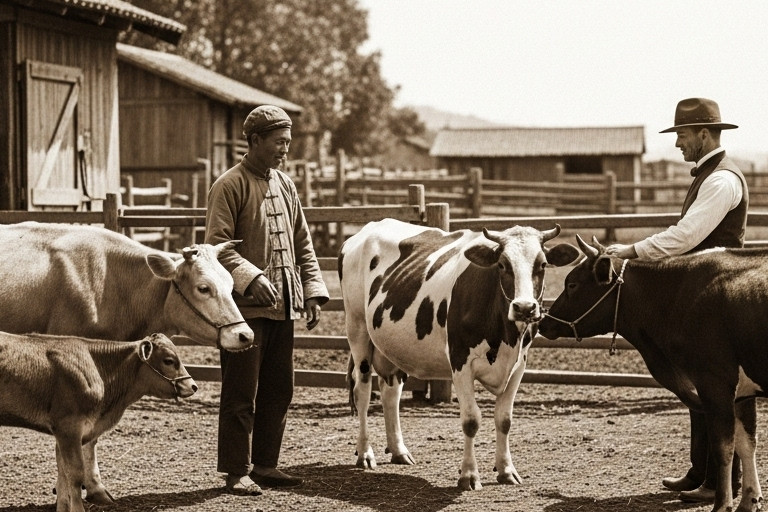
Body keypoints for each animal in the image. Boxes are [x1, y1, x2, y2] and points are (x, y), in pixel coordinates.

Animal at [0, 331, 196, 512]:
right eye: (169, 360)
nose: (193, 386)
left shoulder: (65, 434)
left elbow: (63, 475)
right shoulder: (69, 428)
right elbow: (75, 474)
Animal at [338, 218, 579, 490]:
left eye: (543, 264)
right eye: (502, 264)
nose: (525, 308)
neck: (504, 334)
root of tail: (366, 229)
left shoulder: (518, 366)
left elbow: (504, 419)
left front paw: (506, 470)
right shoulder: (461, 363)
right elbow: (471, 420)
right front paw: (469, 475)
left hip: (390, 347)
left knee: (391, 394)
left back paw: (399, 451)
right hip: (358, 331)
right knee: (363, 392)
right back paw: (365, 453)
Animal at [538, 235, 768, 512]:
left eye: (572, 284)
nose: (542, 323)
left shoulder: (714, 382)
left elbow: (723, 448)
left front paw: (722, 504)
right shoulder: (743, 390)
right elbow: (747, 443)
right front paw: (749, 499)